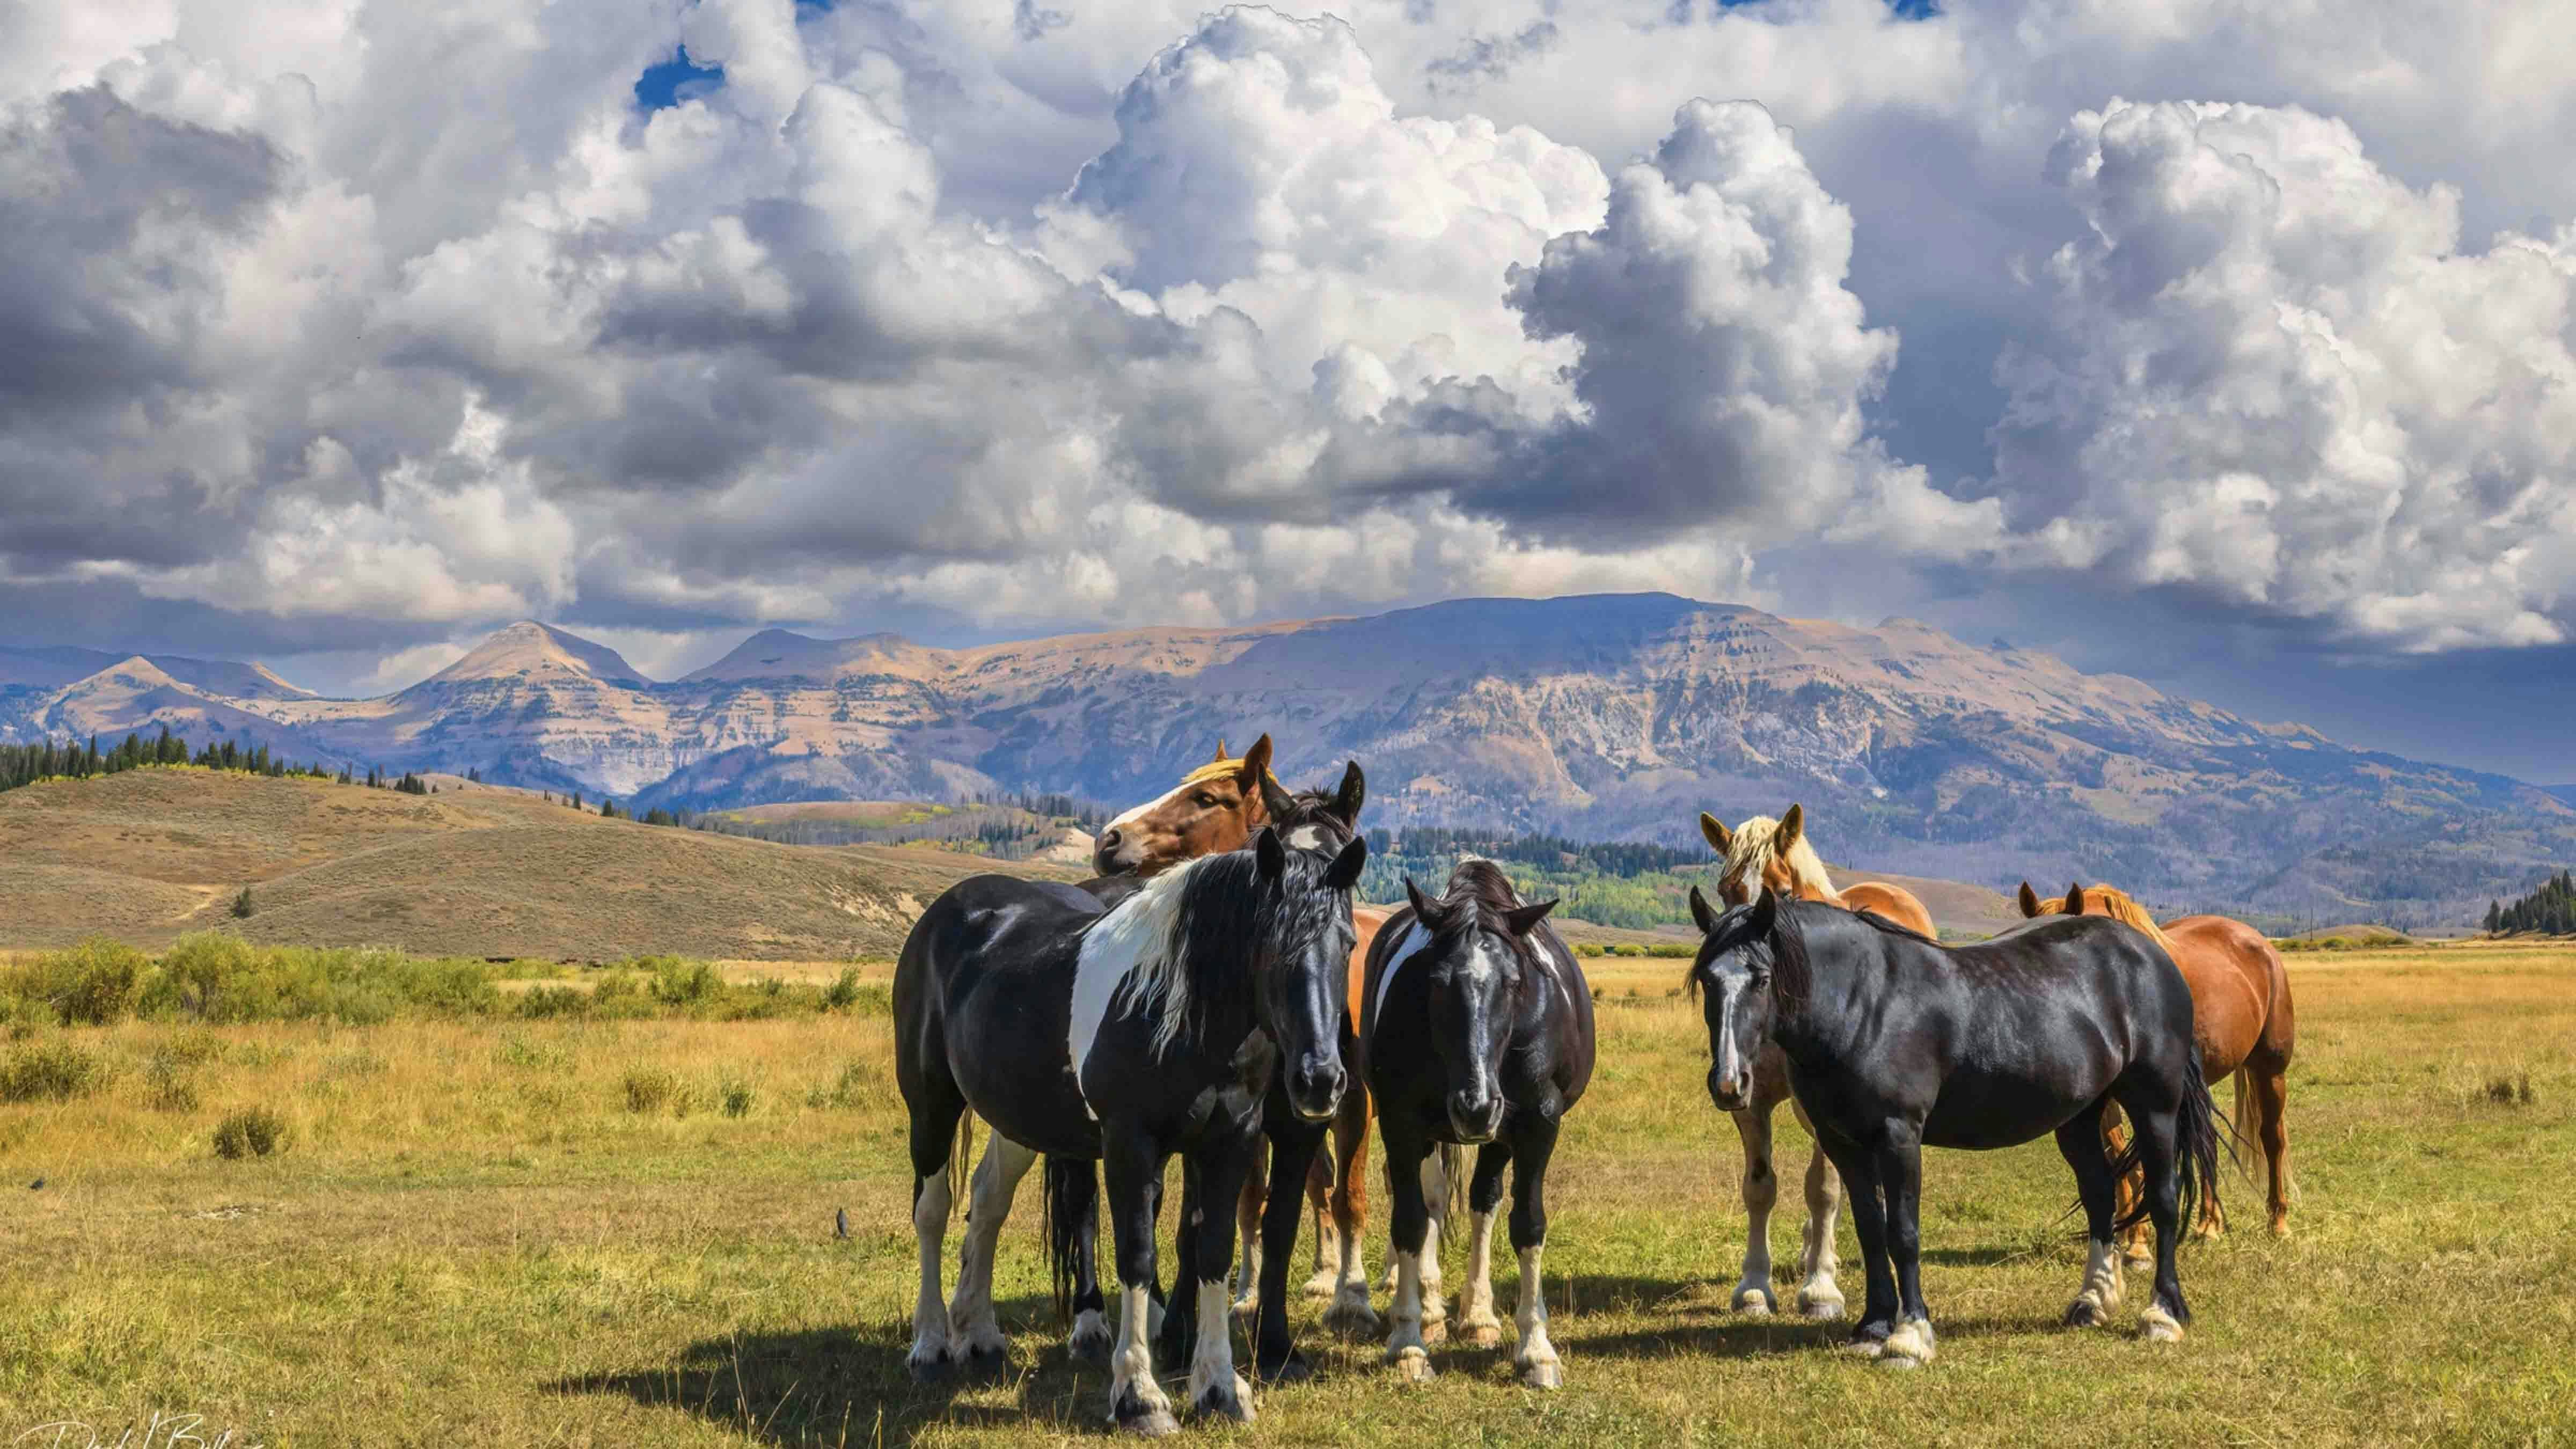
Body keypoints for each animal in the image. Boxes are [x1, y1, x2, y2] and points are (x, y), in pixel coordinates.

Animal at [896, 822, 1367, 1432]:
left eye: (1348, 943)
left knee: (988, 1201)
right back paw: (931, 1344)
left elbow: (1214, 1253)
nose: (1319, 1081)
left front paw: (1220, 1388)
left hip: (1017, 1119)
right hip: (931, 1105)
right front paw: (1140, 1397)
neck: (1176, 1011)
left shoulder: (1230, 1142)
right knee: (932, 1212)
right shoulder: (1129, 1144)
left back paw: (978, 1334)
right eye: (1270, 942)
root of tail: (948, 911)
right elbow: (1137, 1257)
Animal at [1362, 860, 1594, 1389]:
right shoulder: (1402, 1123)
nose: (1476, 1107)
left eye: (1512, 982)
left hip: (1498, 1137)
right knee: (1431, 1202)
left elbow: (1527, 1224)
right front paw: (1408, 1342)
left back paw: (1479, 1316)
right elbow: (1410, 1221)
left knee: (1482, 1202)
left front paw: (1536, 1350)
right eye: (1437, 982)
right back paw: (1430, 1309)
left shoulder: (1537, 1124)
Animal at [1687, 887, 2222, 1366]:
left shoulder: (1899, 1136)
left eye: (1761, 979)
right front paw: (1872, 1328)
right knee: (2100, 1196)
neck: (1864, 1005)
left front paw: (1909, 1337)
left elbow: (1903, 1233)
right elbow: (1870, 1230)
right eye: (1708, 981)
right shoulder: (1845, 1143)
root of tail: (2151, 955)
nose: (1730, 1084)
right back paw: (2092, 1302)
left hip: (2155, 1107)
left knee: (2164, 1199)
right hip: (2081, 1116)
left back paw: (2163, 1315)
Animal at [1692, 805, 1936, 1321]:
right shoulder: (1749, 1098)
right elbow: (1760, 1187)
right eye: (1726, 891)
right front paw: (1754, 1288)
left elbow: (1823, 1190)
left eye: (1783, 892)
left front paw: (1821, 1290)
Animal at [2019, 881, 2295, 1254]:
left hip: (2271, 1070)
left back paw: (2278, 1222)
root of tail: (2259, 944)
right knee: (2206, 1143)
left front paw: (2138, 1240)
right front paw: (2127, 1234)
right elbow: (2116, 1155)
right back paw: (2209, 1224)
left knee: (2272, 1139)